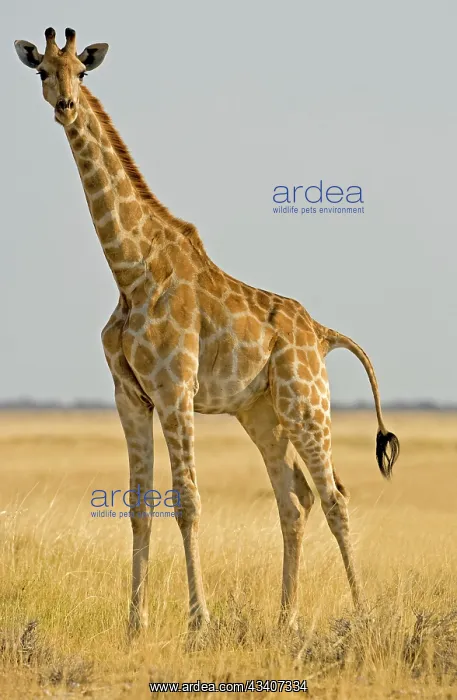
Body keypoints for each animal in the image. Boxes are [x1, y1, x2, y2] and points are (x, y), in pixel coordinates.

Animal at [15, 28, 399, 636]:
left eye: (83, 69)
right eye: (42, 72)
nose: (66, 105)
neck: (130, 269)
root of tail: (320, 332)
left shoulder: (175, 389)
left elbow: (187, 501)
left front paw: (199, 622)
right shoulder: (130, 395)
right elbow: (139, 504)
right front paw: (136, 623)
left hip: (306, 403)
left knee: (335, 495)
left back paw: (360, 617)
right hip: (262, 413)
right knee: (295, 499)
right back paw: (285, 620)